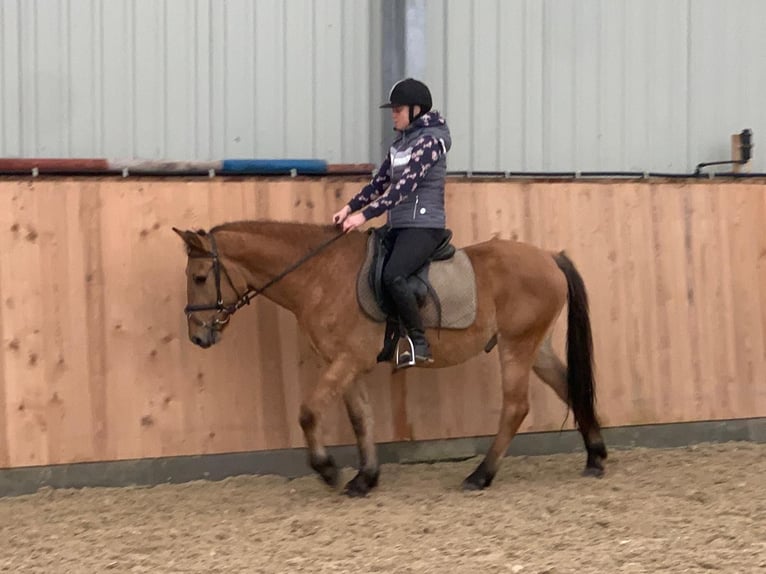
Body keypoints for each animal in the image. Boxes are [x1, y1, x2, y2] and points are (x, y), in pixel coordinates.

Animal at [173, 220, 607, 497]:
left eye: (199, 278)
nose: (198, 335)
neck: (320, 275)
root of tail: (549, 256)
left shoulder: (345, 361)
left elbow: (309, 413)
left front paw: (329, 472)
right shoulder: (346, 363)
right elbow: (361, 418)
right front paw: (365, 479)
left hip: (516, 346)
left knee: (516, 407)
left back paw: (480, 476)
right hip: (536, 346)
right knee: (569, 387)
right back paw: (596, 458)